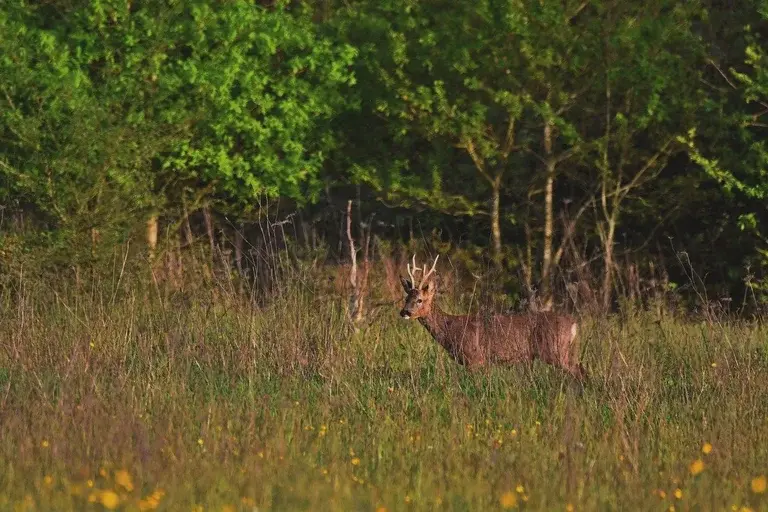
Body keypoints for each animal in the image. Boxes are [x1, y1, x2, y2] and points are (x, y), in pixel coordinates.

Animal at [400, 255, 584, 380]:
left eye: (419, 299)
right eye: (406, 298)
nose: (404, 312)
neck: (450, 329)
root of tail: (574, 324)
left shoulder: (475, 358)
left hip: (556, 350)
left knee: (579, 372)